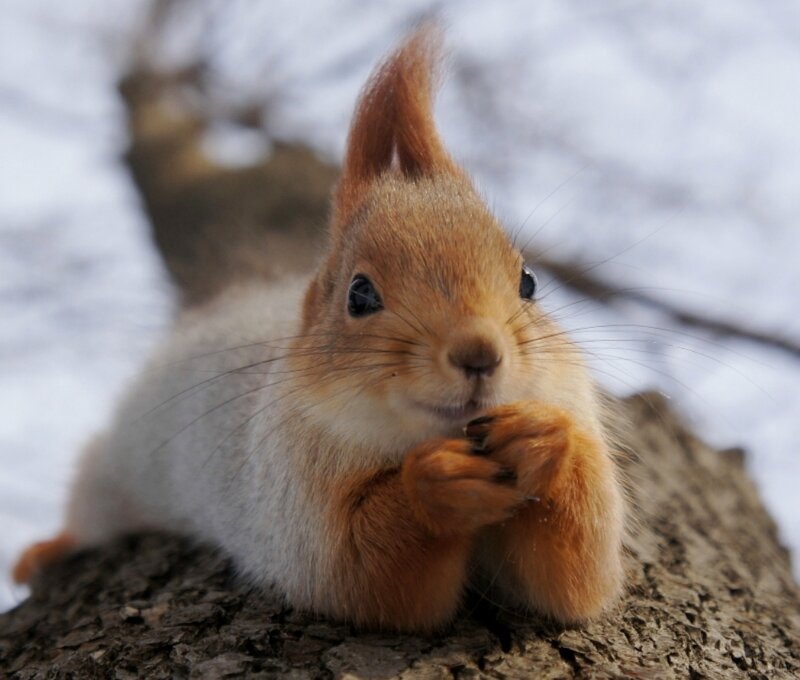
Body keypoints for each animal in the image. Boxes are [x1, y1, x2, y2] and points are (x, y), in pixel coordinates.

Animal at [13, 27, 625, 632]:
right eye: (359, 294)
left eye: (529, 282)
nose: (478, 353)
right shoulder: (288, 497)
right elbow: (359, 570)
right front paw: (435, 483)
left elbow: (574, 578)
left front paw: (542, 437)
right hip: (110, 472)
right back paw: (45, 550)